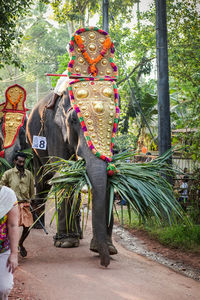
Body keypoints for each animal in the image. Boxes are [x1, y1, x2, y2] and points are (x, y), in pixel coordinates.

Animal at [26, 27, 119, 268]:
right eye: (75, 120)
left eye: (115, 119)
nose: (104, 263)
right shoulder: (53, 129)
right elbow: (64, 172)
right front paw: (66, 243)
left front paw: (109, 249)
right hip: (33, 145)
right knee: (43, 178)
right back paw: (38, 226)